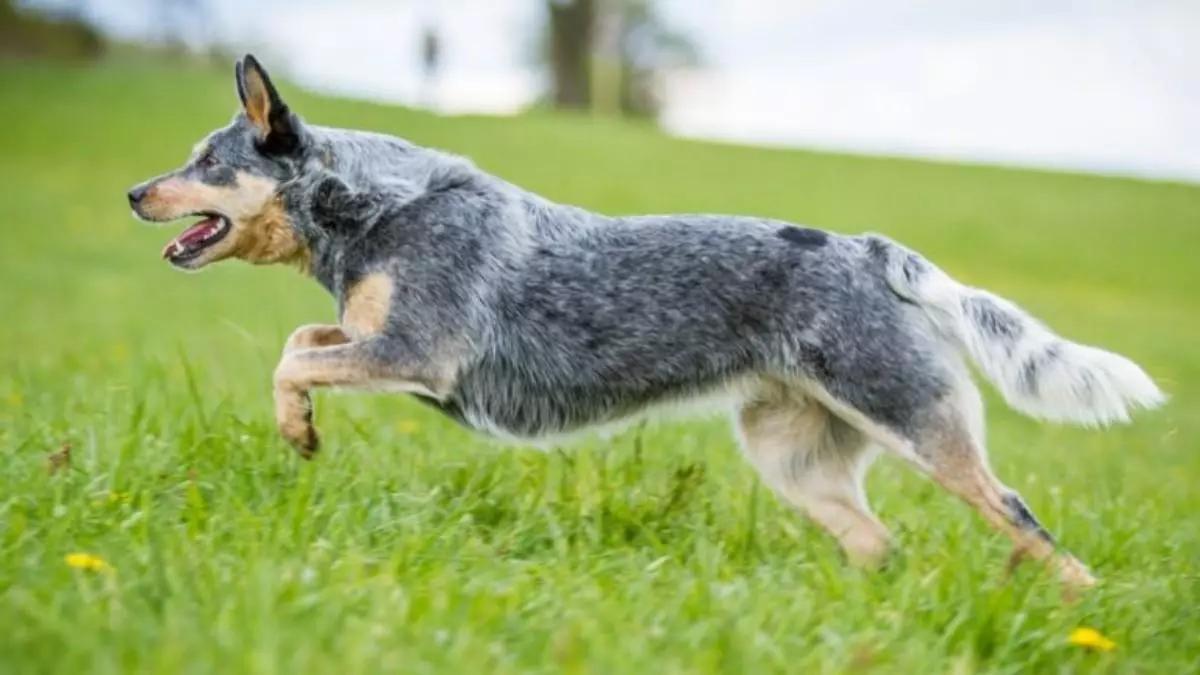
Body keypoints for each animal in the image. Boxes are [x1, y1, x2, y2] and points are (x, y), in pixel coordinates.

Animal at [129, 55, 1161, 586]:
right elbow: (302, 343)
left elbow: (290, 357)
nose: (134, 190)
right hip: (791, 455)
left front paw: (298, 432)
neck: (372, 207)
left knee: (1027, 522)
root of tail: (869, 248)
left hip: (914, 422)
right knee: (879, 543)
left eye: (207, 160)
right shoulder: (382, 344)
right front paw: (299, 429)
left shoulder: (417, 352)